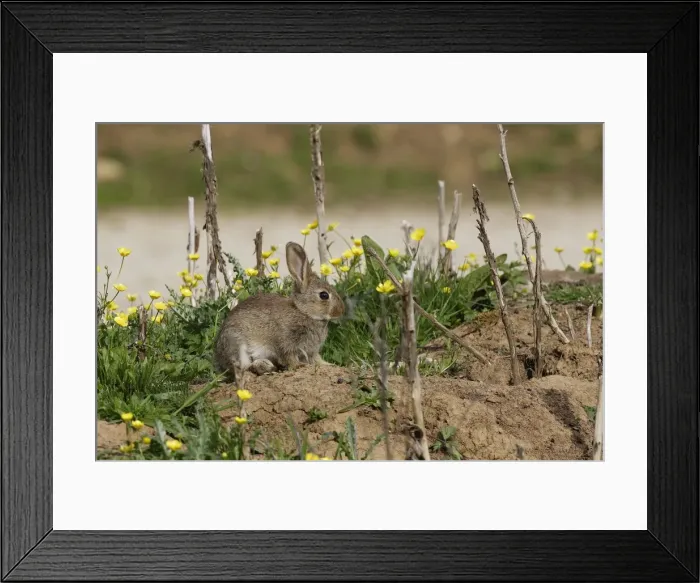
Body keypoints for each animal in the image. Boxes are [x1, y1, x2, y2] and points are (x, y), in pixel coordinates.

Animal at [213, 241, 346, 385]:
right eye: (324, 295)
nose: (341, 311)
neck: (303, 311)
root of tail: (219, 356)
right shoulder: (286, 343)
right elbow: (289, 357)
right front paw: (300, 366)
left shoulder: (311, 352)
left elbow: (317, 360)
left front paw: (330, 365)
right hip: (236, 345)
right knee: (242, 368)